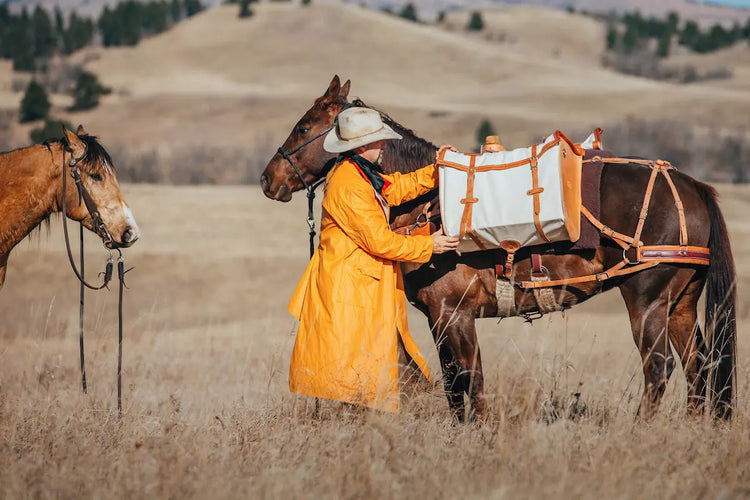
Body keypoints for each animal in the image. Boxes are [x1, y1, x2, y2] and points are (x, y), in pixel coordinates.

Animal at [260, 76, 736, 422]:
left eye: (303, 127)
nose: (268, 178)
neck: (429, 206)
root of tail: (691, 186)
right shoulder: (446, 319)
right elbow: (462, 384)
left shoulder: (451, 315)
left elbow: (466, 382)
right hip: (681, 303)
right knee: (699, 366)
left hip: (647, 299)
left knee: (659, 369)